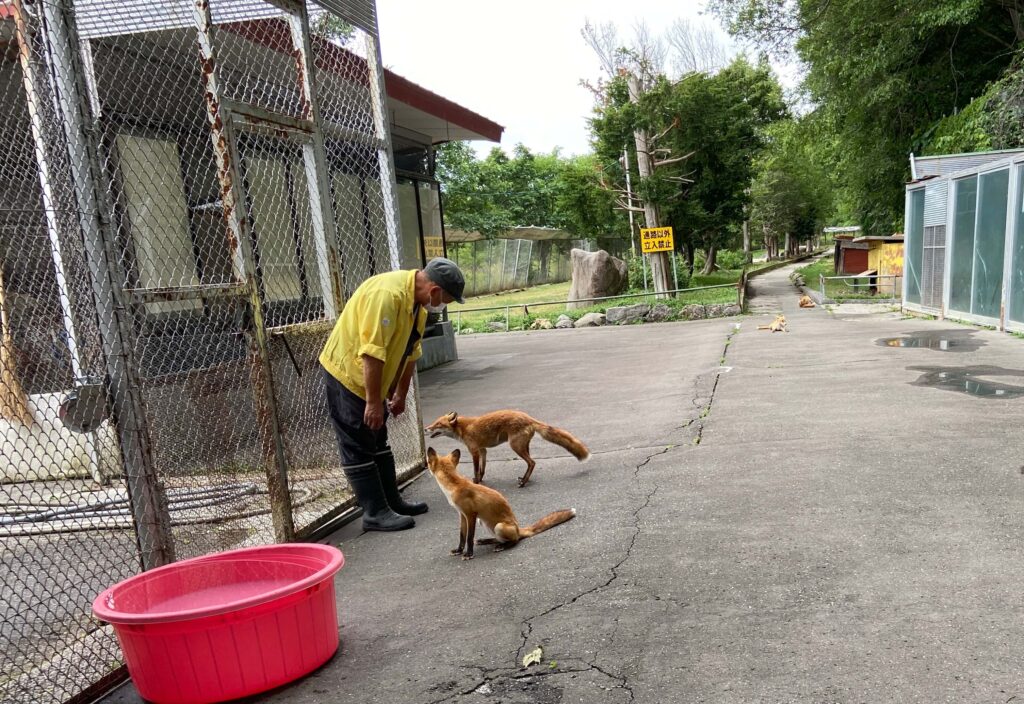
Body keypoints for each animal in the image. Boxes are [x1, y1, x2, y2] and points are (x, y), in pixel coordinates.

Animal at [421, 409, 589, 487]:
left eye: (438, 424)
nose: (425, 429)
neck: (463, 428)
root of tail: (528, 417)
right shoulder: (483, 450)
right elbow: (482, 469)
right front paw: (480, 480)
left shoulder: (474, 450)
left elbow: (475, 469)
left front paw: (476, 483)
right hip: (523, 446)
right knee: (531, 463)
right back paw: (524, 479)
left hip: (515, 446)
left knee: (532, 462)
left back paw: (524, 482)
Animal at [423, 448, 577, 556]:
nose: (425, 463)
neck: (454, 486)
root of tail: (519, 529)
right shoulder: (462, 515)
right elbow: (462, 536)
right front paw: (458, 550)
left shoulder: (471, 515)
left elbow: (469, 537)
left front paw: (469, 554)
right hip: (484, 523)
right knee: (498, 539)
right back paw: (487, 541)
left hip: (499, 526)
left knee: (514, 541)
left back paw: (502, 547)